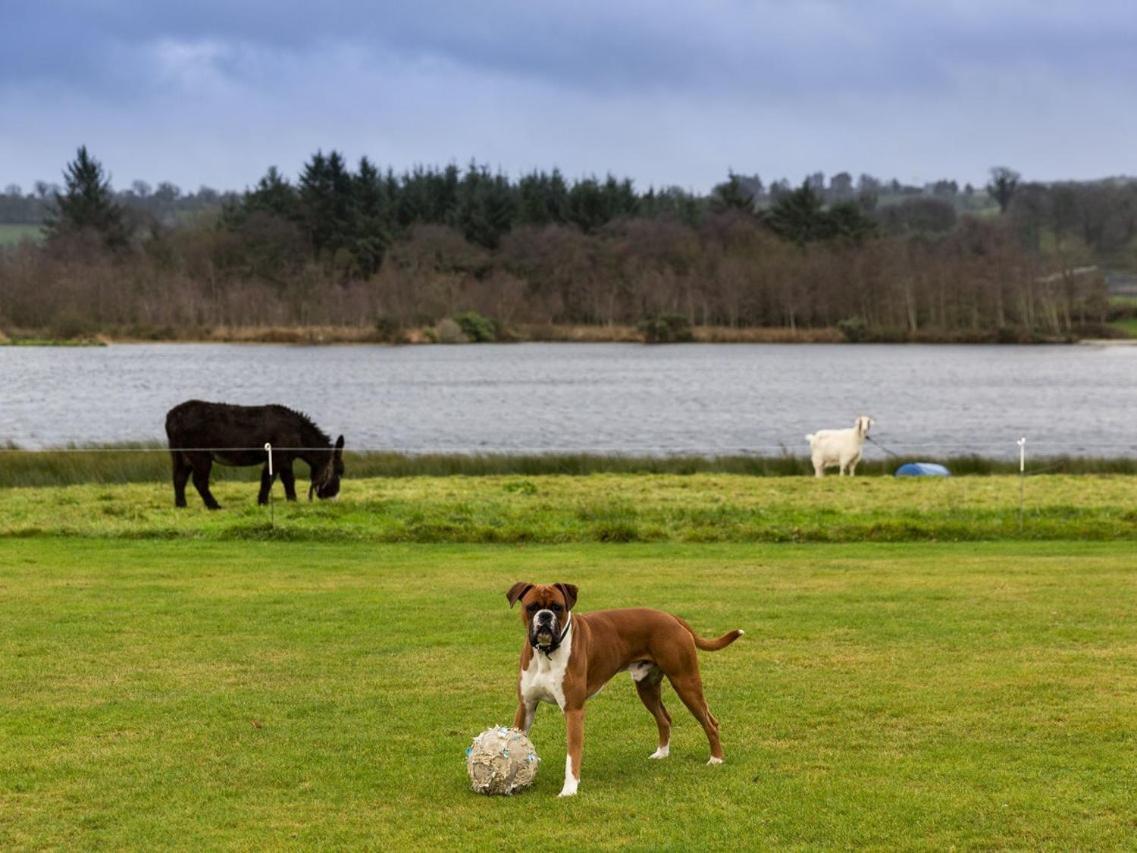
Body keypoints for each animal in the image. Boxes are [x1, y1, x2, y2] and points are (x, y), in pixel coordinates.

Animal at [509, 586, 745, 800]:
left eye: (557, 607)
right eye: (532, 607)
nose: (545, 616)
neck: (546, 654)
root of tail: (671, 617)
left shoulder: (573, 710)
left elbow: (572, 755)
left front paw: (569, 790)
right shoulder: (526, 706)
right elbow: (517, 739)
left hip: (686, 683)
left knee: (709, 722)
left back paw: (716, 759)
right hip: (647, 688)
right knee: (664, 719)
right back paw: (662, 753)